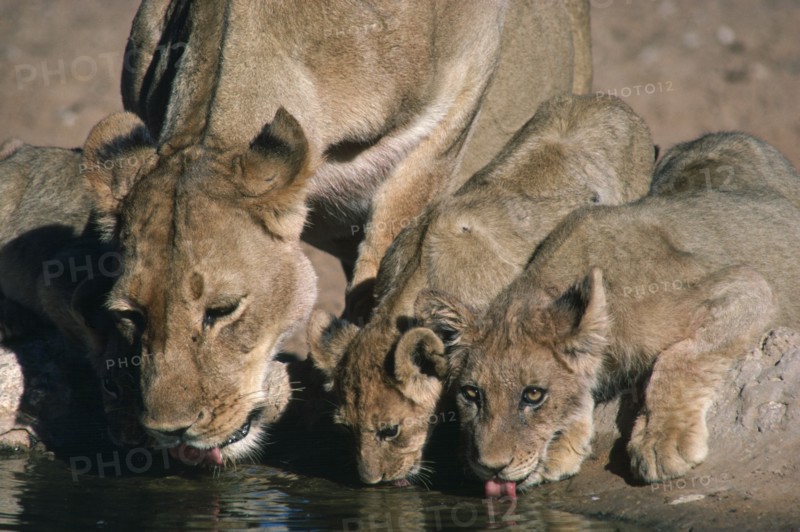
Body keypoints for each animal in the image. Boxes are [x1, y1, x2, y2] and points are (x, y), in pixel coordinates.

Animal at [418, 133, 800, 497]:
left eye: (533, 395)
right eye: (471, 394)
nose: (490, 467)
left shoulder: (747, 285)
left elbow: (679, 359)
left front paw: (662, 441)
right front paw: (563, 447)